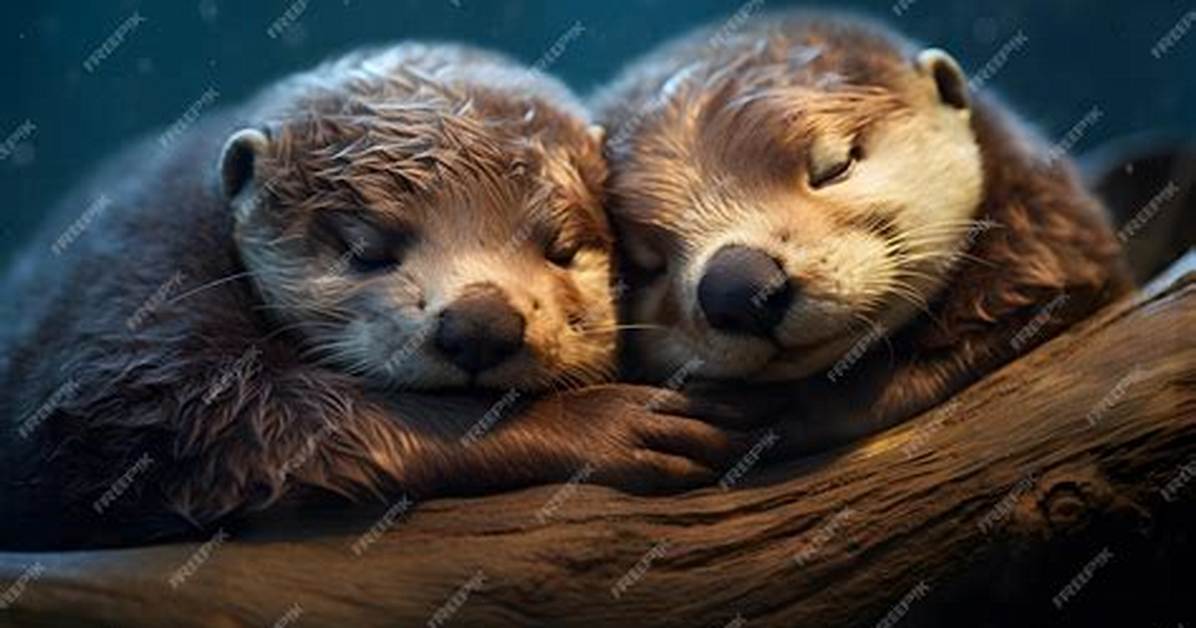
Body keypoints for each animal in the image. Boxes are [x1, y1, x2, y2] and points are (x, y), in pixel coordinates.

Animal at [0, 44, 747, 549]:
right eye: (367, 249)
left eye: (562, 248)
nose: (481, 324)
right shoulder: (137, 301)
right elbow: (229, 420)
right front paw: (608, 423)